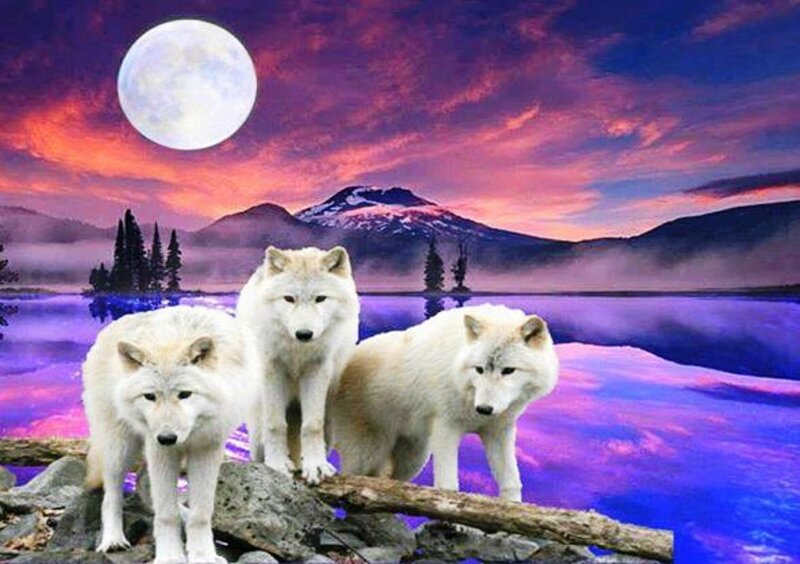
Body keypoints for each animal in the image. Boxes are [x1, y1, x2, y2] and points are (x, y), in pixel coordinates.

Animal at [82, 305, 260, 563]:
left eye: (185, 394)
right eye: (150, 396)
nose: (167, 438)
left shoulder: (206, 448)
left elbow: (201, 513)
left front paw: (203, 556)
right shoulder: (159, 449)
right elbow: (166, 514)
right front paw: (170, 556)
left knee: (143, 481)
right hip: (121, 446)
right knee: (112, 494)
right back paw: (113, 540)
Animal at [236, 246, 359, 484]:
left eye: (320, 298)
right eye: (289, 299)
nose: (304, 334)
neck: (297, 350)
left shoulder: (317, 369)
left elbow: (312, 426)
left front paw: (315, 465)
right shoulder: (272, 368)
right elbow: (276, 424)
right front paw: (277, 464)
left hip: (329, 422)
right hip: (256, 431)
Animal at [329, 304, 558, 501]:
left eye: (508, 370)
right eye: (479, 369)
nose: (484, 409)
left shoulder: (498, 431)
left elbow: (511, 482)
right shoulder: (447, 429)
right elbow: (448, 487)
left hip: (414, 458)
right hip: (367, 454)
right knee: (351, 479)